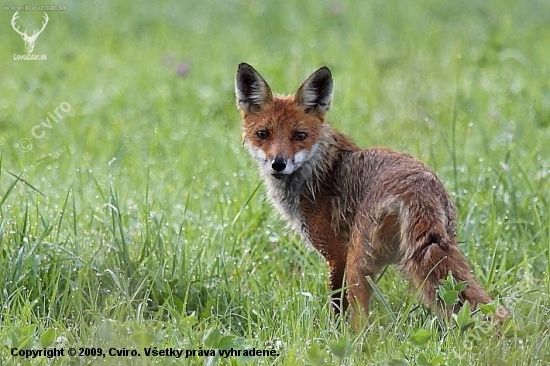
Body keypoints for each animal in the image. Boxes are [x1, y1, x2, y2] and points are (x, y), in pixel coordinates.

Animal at [235, 62, 506, 326]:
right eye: (263, 134)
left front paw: (332, 333)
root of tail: (419, 186)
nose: (278, 164)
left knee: (362, 321)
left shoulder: (336, 254)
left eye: (299, 135)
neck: (319, 170)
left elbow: (337, 306)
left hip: (357, 264)